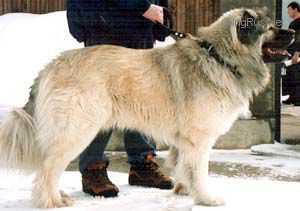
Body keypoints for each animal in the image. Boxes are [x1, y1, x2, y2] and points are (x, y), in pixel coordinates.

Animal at [0, 7, 296, 208]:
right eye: (271, 28)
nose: (293, 32)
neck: (220, 57)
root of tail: (51, 66)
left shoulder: (184, 141)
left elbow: (183, 166)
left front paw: (183, 190)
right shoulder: (199, 139)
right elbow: (200, 171)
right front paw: (206, 198)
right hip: (77, 130)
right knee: (48, 169)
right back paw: (51, 201)